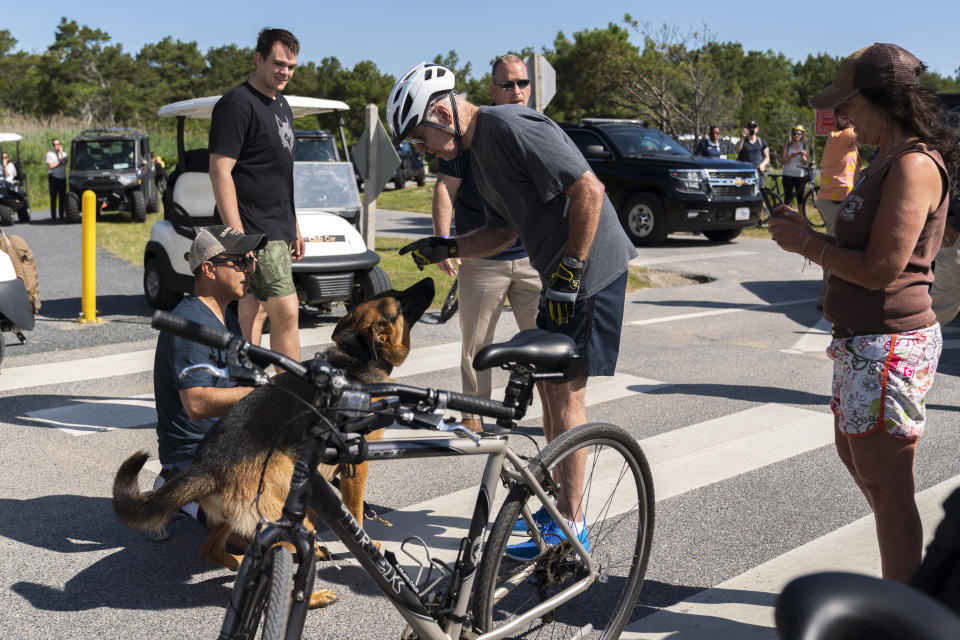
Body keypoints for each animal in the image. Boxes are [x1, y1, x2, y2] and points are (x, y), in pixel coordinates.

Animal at [111, 278, 436, 608]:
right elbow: (356, 513)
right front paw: (366, 545)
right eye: (401, 302)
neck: (356, 359)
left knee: (211, 550)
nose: (430, 280)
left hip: (238, 518)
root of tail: (207, 467)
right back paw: (314, 595)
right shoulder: (355, 466)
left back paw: (239, 562)